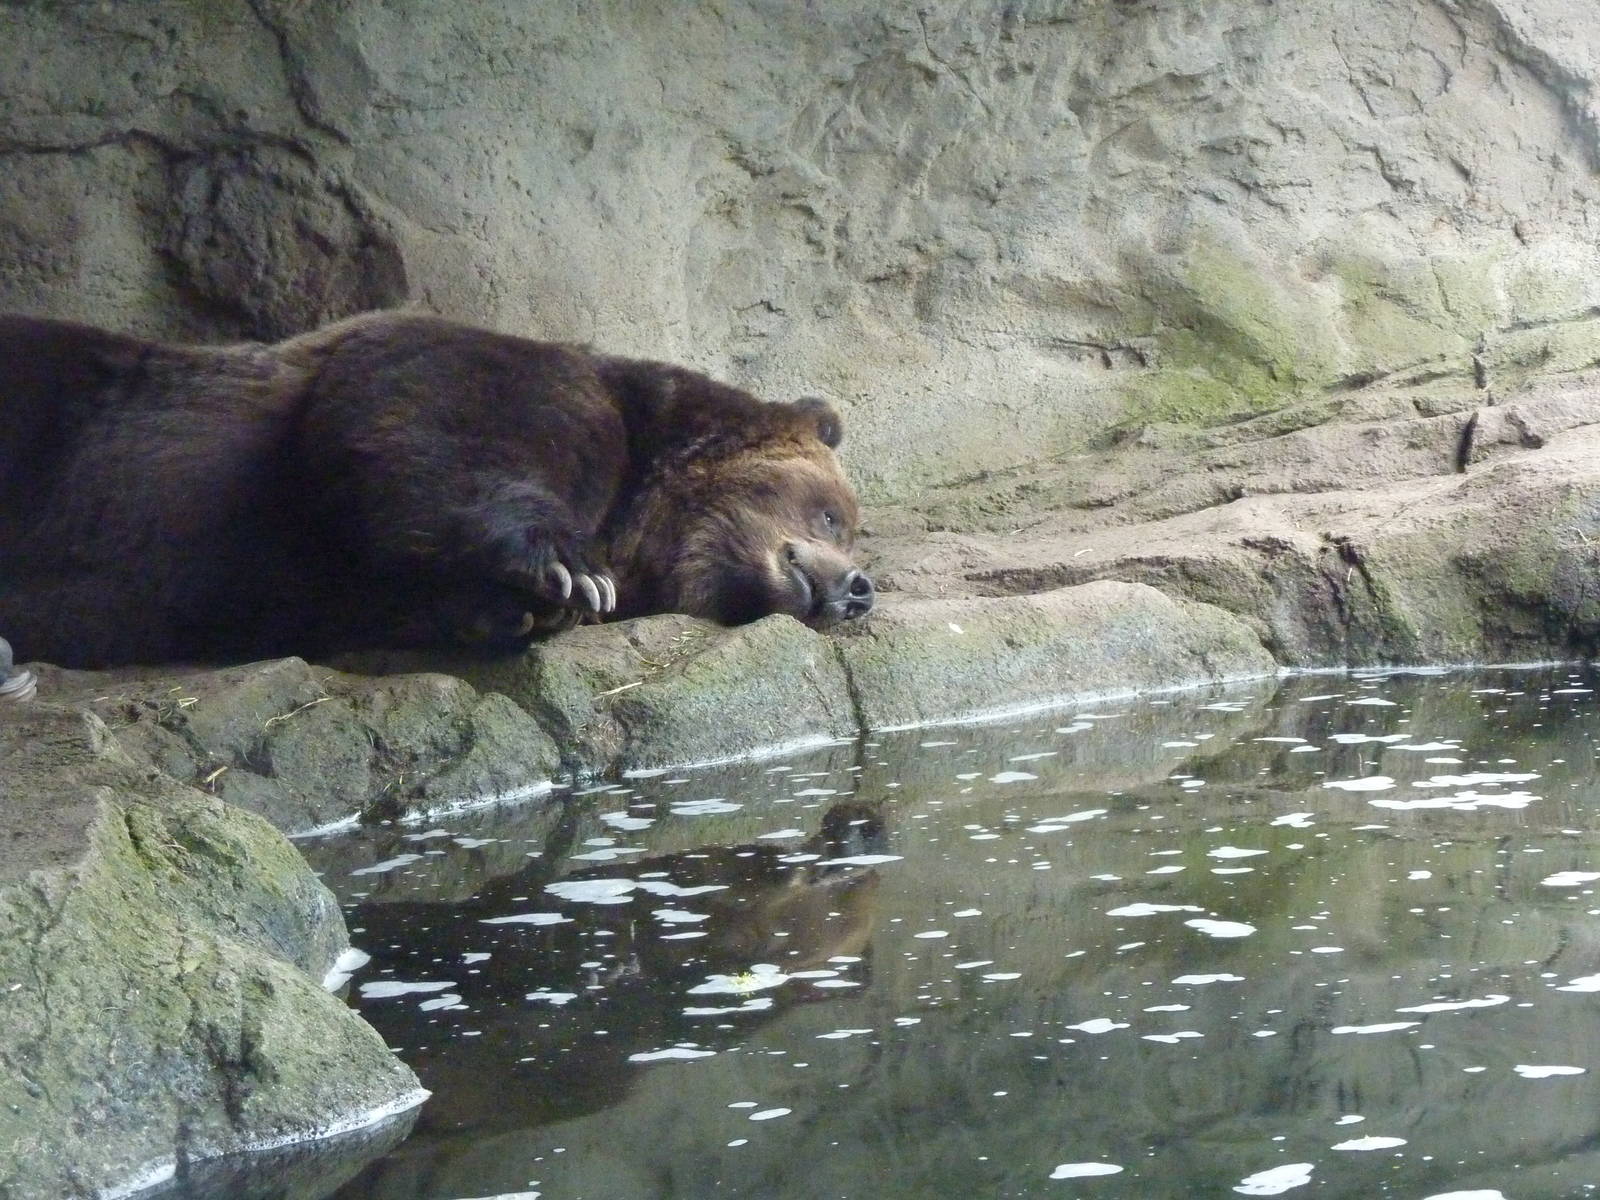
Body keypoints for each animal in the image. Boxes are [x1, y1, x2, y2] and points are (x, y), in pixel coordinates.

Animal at [0, 312, 873, 669]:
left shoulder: (314, 591)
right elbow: (422, 432)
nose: (857, 588)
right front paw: (566, 572)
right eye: (833, 514)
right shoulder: (497, 376)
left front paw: (517, 609)